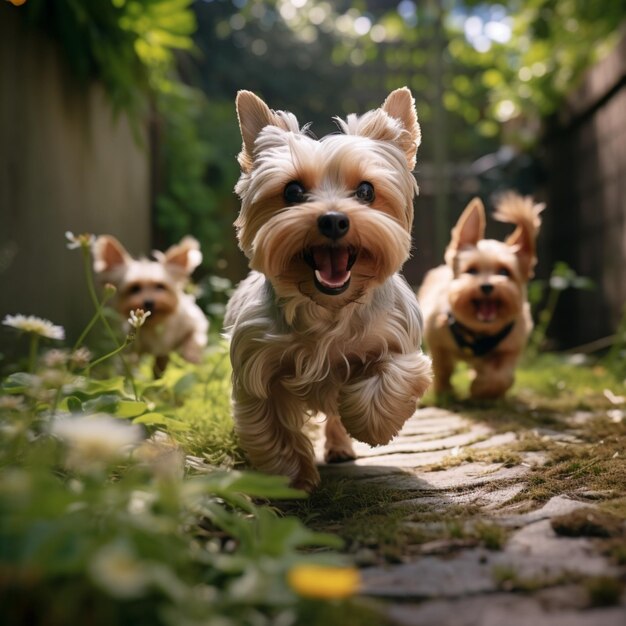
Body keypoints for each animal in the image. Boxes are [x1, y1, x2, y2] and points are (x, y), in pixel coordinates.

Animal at [92, 233, 208, 370]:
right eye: (134, 288)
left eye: (160, 286)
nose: (148, 302)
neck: (155, 326)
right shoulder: (133, 347)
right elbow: (129, 363)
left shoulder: (195, 322)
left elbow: (193, 339)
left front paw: (192, 359)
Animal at [222, 88, 432, 490]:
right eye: (292, 191)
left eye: (366, 190)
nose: (333, 220)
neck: (327, 308)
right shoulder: (257, 368)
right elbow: (271, 427)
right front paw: (292, 479)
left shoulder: (398, 340)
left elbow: (390, 378)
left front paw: (367, 422)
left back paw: (340, 444)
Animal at [416, 193, 544, 398]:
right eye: (471, 271)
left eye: (504, 272)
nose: (486, 286)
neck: (478, 334)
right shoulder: (437, 341)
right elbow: (443, 368)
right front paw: (445, 391)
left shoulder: (511, 348)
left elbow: (501, 375)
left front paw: (482, 388)